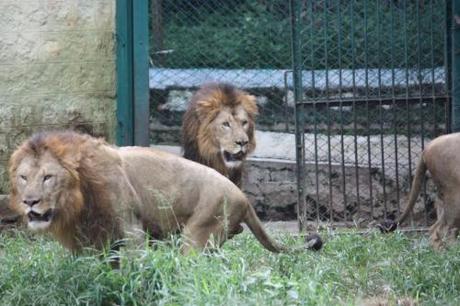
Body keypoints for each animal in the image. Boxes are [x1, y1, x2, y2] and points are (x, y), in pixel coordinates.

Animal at [9, 130, 322, 256]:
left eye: (48, 177)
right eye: (24, 178)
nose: (29, 202)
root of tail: (244, 198)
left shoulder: (131, 230)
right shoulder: (90, 240)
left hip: (197, 235)